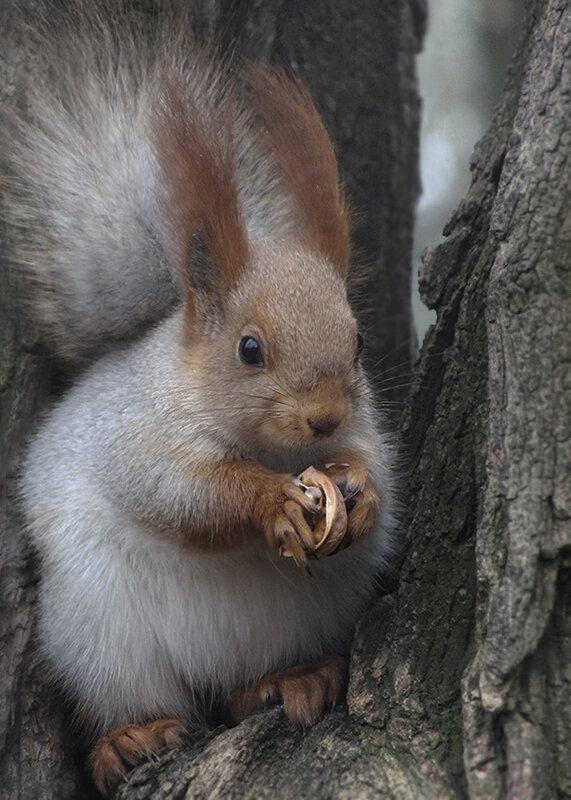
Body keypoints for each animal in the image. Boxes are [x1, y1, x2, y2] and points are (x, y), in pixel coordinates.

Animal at [3, 3, 398, 796]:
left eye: (360, 342)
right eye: (249, 349)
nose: (325, 418)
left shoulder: (367, 431)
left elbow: (382, 478)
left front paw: (360, 493)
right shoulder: (134, 435)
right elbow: (180, 496)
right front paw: (268, 501)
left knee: (245, 691)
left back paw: (296, 678)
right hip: (103, 640)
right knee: (141, 699)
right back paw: (129, 738)